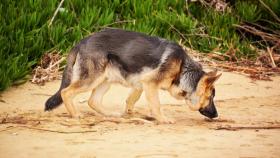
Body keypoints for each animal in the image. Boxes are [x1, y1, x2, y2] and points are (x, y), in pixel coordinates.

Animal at [44, 28, 222, 123]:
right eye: (210, 97)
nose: (216, 115)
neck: (182, 68)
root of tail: (81, 42)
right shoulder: (150, 83)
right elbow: (156, 104)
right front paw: (162, 119)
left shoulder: (141, 83)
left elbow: (132, 100)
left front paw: (132, 114)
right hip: (91, 80)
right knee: (66, 92)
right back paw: (75, 115)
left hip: (105, 80)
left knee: (92, 101)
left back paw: (111, 114)